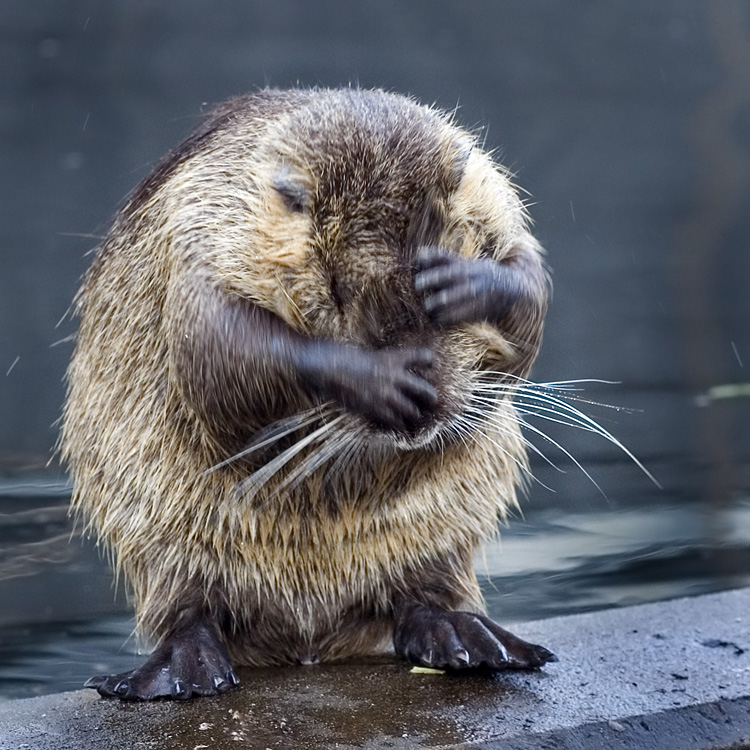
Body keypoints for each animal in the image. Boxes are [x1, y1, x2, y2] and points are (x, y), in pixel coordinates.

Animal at [63, 89, 552, 704]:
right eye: (337, 290)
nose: (423, 409)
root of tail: (309, 646)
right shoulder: (208, 226)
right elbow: (220, 339)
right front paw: (386, 383)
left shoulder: (493, 196)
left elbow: (530, 278)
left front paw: (461, 281)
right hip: (157, 542)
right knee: (188, 610)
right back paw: (175, 674)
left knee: (421, 595)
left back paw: (475, 642)